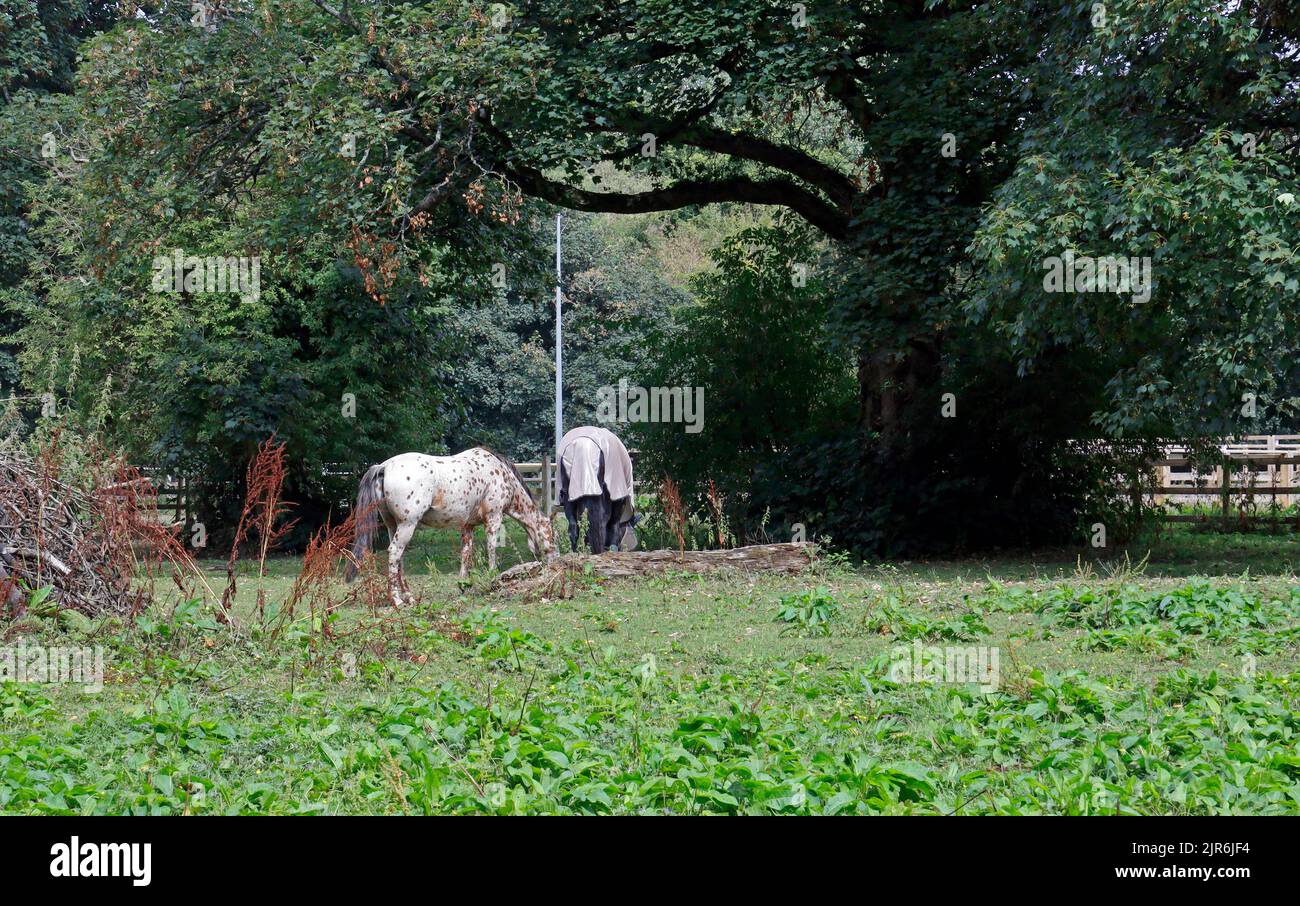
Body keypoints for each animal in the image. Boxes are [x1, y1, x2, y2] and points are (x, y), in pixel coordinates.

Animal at [345, 444, 553, 600]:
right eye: (551, 535)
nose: (553, 563)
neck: (500, 474)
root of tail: (384, 467)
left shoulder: (468, 526)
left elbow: (466, 553)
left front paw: (463, 584)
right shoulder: (494, 518)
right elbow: (491, 548)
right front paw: (493, 577)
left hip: (392, 525)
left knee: (398, 557)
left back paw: (409, 597)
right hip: (407, 525)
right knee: (395, 552)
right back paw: (397, 600)